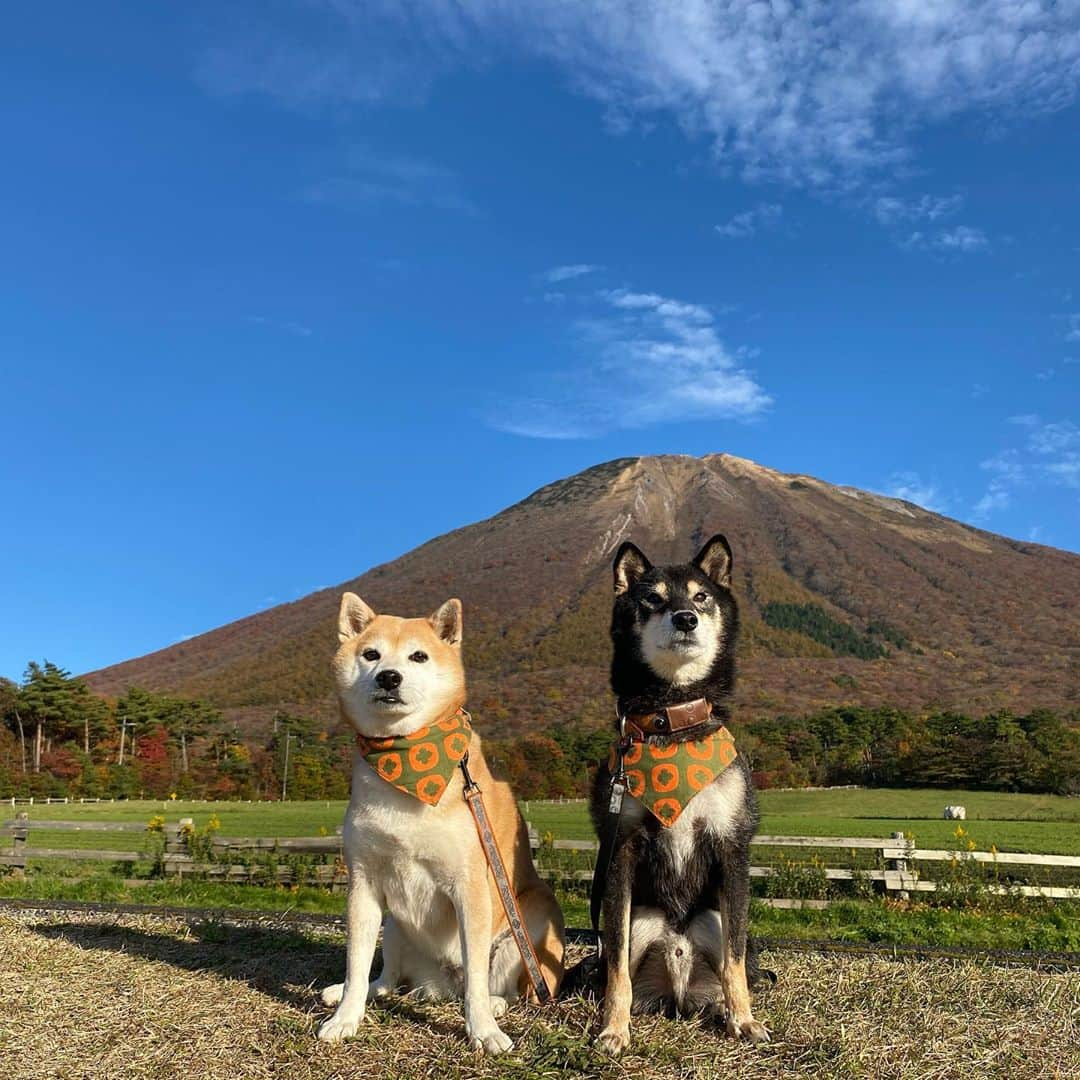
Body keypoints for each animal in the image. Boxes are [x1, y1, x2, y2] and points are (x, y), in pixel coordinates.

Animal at [315, 591, 565, 1054]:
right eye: (371, 654)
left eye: (419, 656)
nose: (389, 677)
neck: (407, 758)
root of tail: (441, 984)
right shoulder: (363, 883)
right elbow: (356, 965)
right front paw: (345, 1017)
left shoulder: (469, 885)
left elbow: (477, 983)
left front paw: (483, 1030)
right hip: (395, 926)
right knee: (386, 979)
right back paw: (351, 992)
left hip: (532, 919)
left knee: (499, 985)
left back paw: (497, 1004)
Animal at [591, 533, 768, 1054]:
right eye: (652, 599)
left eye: (701, 596)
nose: (685, 617)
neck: (672, 717)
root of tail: (679, 988)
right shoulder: (620, 849)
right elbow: (614, 968)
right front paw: (613, 1028)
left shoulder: (732, 846)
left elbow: (735, 956)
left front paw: (744, 1020)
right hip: (641, 919)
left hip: (710, 916)